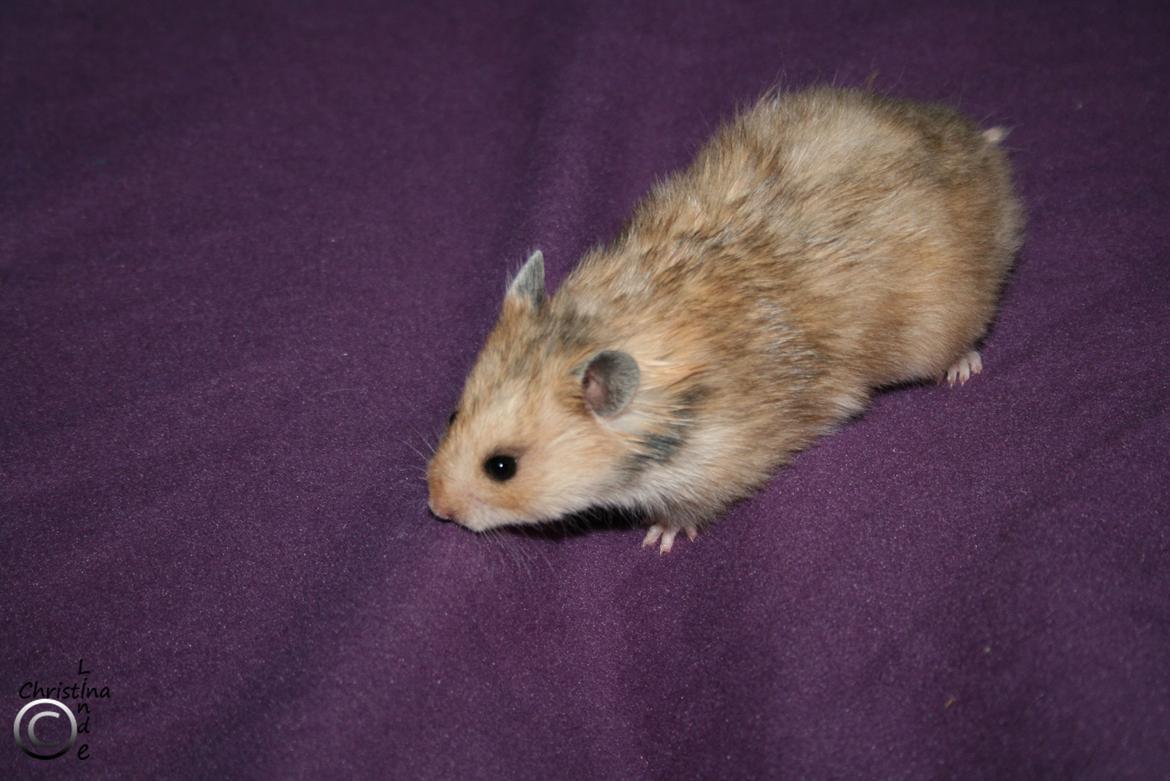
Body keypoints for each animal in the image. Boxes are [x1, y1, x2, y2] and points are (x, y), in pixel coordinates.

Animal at [426, 87, 1023, 553]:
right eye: (453, 416)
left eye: (502, 467)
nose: (435, 508)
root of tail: (986, 156)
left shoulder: (721, 462)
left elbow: (688, 510)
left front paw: (658, 538)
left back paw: (963, 368)